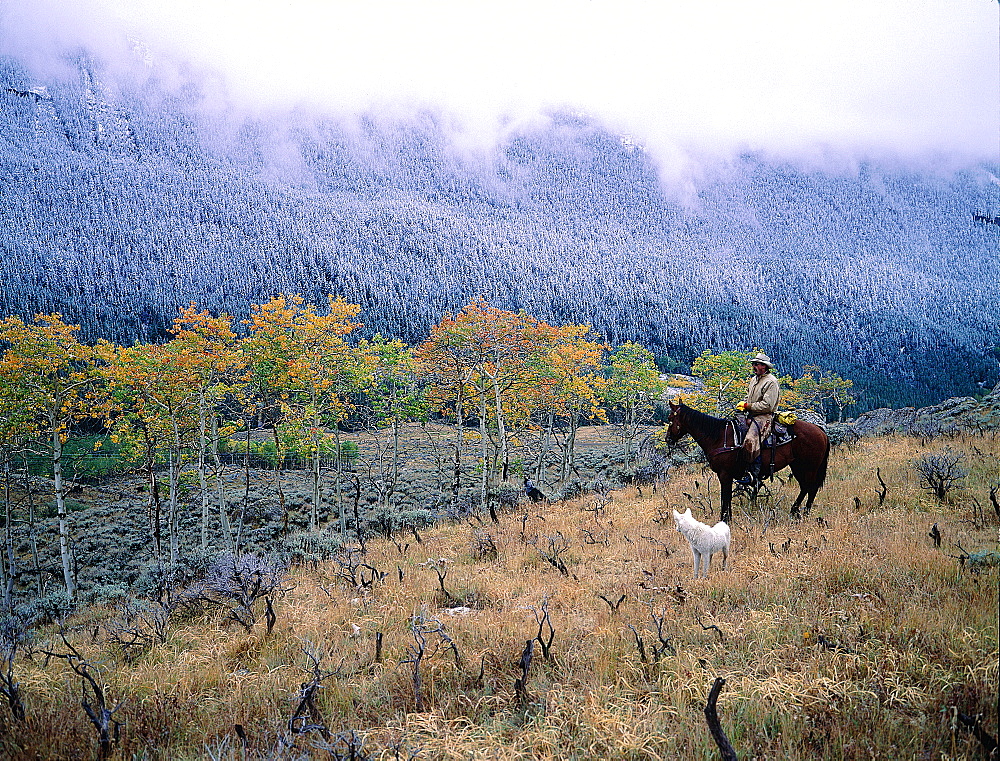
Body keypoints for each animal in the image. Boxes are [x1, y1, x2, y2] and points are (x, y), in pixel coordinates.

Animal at [668, 398, 832, 524]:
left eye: (670, 420)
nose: (668, 439)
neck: (719, 437)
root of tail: (820, 431)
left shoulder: (725, 475)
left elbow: (725, 497)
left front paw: (724, 520)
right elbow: (727, 498)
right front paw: (728, 519)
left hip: (808, 467)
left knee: (810, 488)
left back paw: (803, 512)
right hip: (797, 466)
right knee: (806, 487)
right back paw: (796, 512)